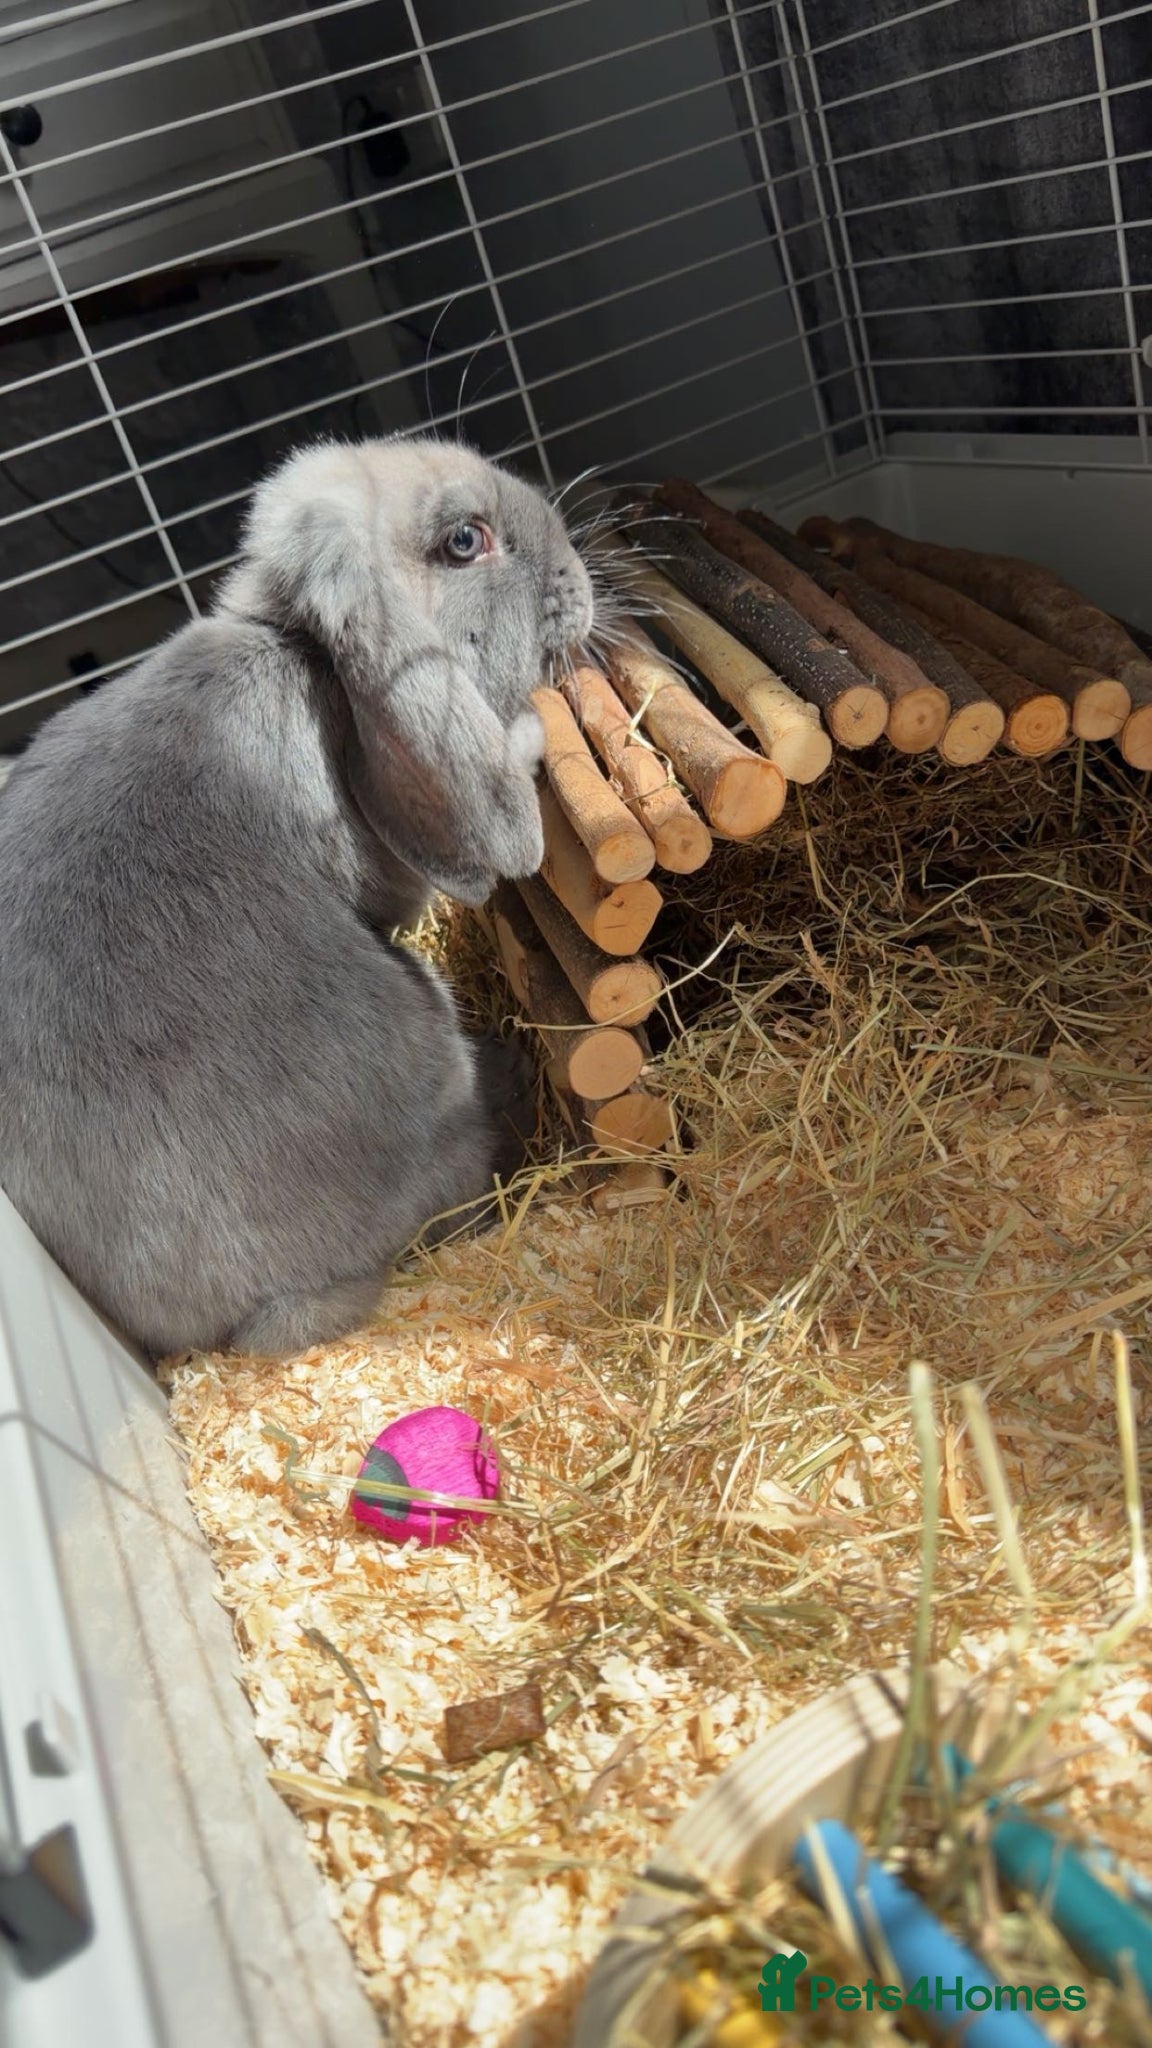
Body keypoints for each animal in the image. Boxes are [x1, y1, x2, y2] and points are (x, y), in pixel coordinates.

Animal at [0, 436, 595, 1359]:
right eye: (465, 541)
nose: (578, 572)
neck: (309, 668)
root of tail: (242, 1323)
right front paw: (534, 731)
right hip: (428, 1028)